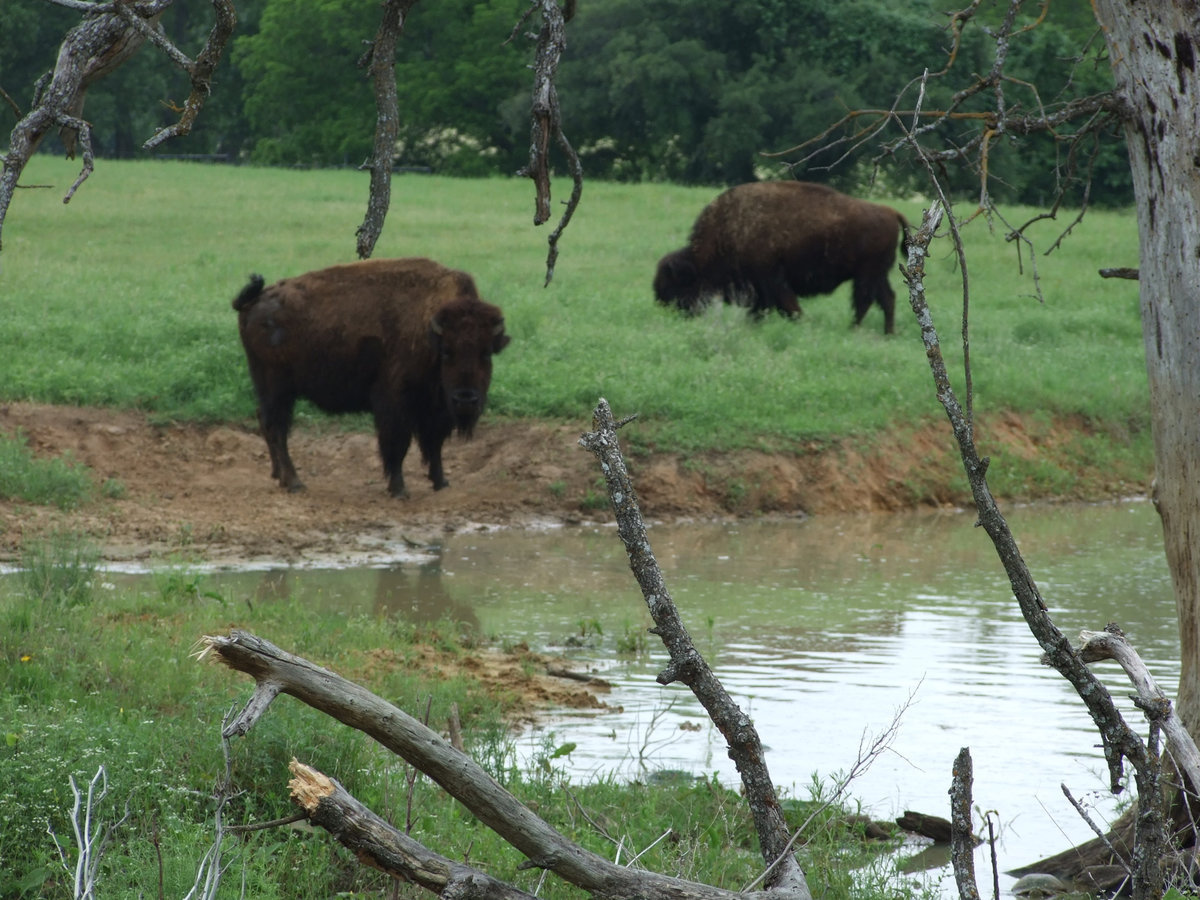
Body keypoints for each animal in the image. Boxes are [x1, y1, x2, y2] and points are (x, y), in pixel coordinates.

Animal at [231, 255, 508, 501]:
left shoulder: (435, 409)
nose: (466, 399)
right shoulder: (395, 403)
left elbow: (434, 445)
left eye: (486, 353)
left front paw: (441, 483)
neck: (430, 332)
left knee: (266, 422)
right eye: (447, 352)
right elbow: (398, 445)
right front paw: (399, 490)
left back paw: (278, 475)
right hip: (277, 387)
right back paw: (294, 482)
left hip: (270, 388)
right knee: (276, 427)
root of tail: (254, 301)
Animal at [657, 181, 907, 336]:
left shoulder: (772, 280)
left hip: (867, 274)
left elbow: (788, 307)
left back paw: (853, 329)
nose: (674, 315)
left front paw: (802, 325)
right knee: (887, 298)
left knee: (865, 301)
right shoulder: (762, 288)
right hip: (877, 274)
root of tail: (890, 212)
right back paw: (888, 333)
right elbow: (762, 310)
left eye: (676, 287)